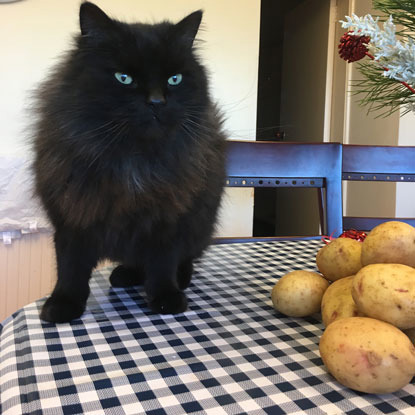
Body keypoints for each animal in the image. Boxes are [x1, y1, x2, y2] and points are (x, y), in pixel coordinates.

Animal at [32, 1, 228, 324]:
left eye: (174, 79)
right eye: (123, 78)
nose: (157, 101)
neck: (132, 160)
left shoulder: (168, 218)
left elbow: (163, 263)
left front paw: (166, 298)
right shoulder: (72, 218)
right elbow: (70, 268)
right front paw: (62, 304)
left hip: (200, 223)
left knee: (185, 258)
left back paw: (177, 279)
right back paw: (125, 275)